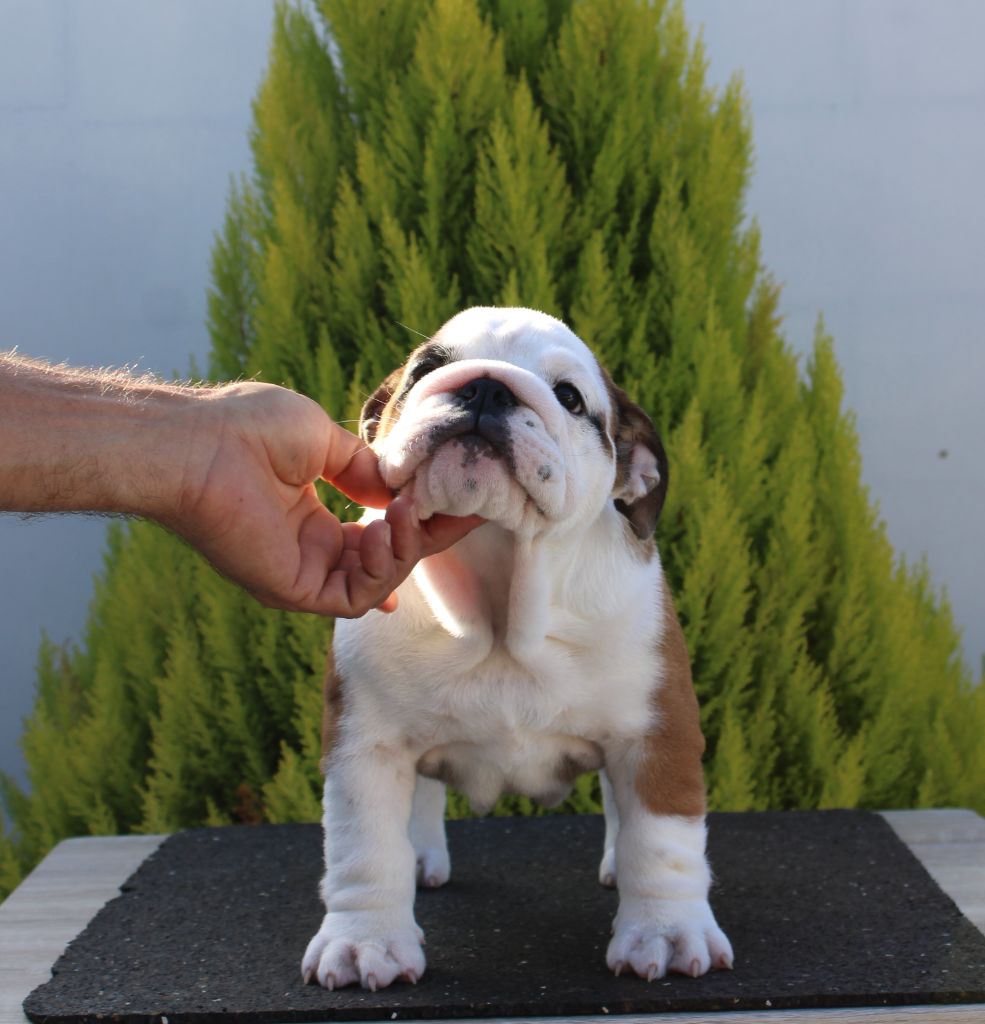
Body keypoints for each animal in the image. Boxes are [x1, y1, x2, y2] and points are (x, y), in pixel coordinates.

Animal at [303, 305, 733, 991]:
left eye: (570, 397)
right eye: (425, 370)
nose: (485, 387)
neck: (500, 598)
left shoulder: (657, 734)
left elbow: (663, 841)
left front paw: (666, 931)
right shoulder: (363, 745)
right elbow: (363, 848)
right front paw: (363, 941)